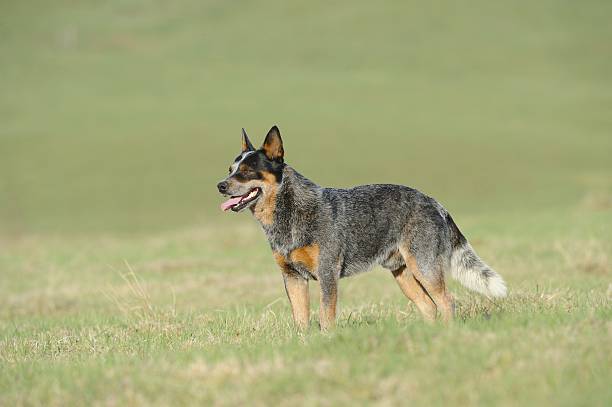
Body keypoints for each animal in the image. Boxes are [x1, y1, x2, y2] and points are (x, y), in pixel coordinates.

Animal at [216, 126, 506, 330]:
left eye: (247, 170)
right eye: (230, 169)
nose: (220, 185)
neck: (289, 213)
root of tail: (436, 203)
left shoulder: (327, 273)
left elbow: (326, 316)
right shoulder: (292, 277)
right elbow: (301, 321)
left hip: (424, 267)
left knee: (447, 302)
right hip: (403, 274)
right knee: (429, 307)